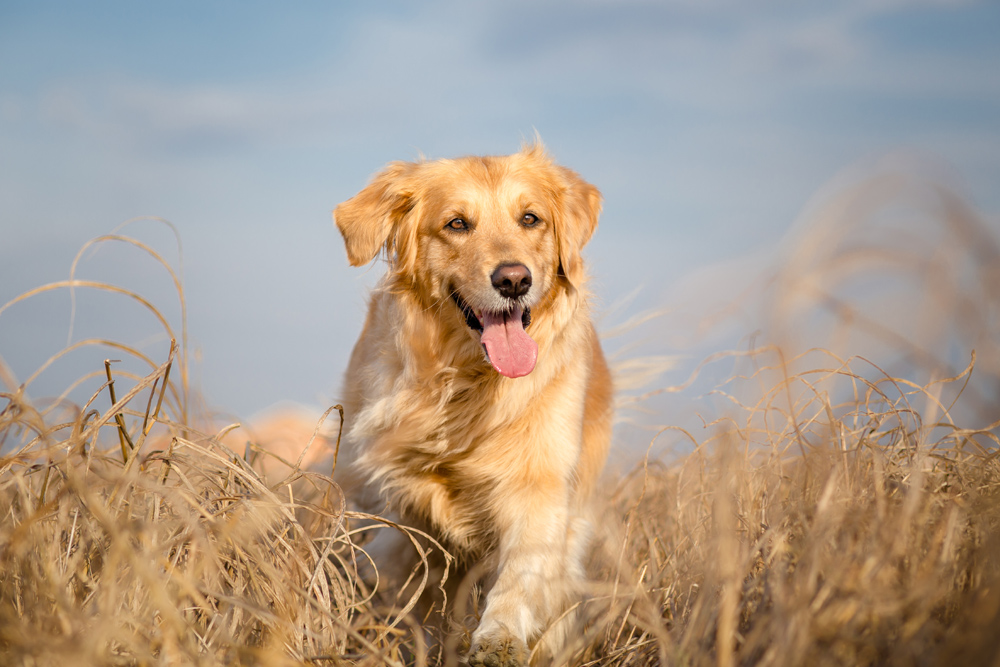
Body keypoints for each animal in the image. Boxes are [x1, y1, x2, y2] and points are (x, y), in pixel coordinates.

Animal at [334, 144, 608, 664]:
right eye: (457, 224)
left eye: (530, 218)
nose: (514, 280)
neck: (469, 382)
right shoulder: (401, 497)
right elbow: (403, 572)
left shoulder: (539, 483)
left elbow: (521, 573)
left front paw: (499, 637)